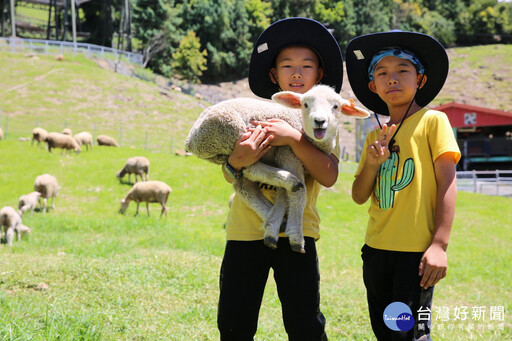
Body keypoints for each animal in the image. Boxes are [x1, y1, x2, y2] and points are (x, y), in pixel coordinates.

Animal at [185, 83, 368, 251]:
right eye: (305, 104)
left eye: (336, 106)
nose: (319, 121)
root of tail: (190, 140)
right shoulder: (287, 152)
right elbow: (299, 195)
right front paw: (295, 235)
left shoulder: (290, 161)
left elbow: (283, 196)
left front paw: (274, 226)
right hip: (230, 132)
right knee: (250, 169)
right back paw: (288, 184)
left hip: (220, 152)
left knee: (245, 187)